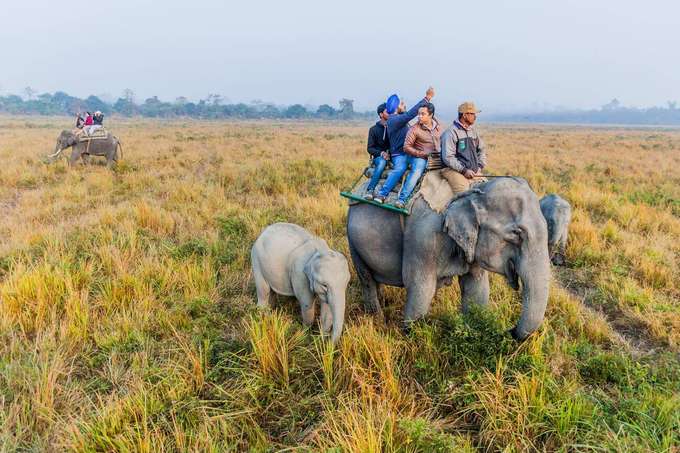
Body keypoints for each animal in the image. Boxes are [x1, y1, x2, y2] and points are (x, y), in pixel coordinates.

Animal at [347, 177, 551, 341]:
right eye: (517, 234)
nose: (510, 330)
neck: (471, 193)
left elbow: (476, 289)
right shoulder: (423, 238)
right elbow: (420, 289)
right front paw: (411, 339)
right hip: (352, 241)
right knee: (366, 279)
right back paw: (377, 319)